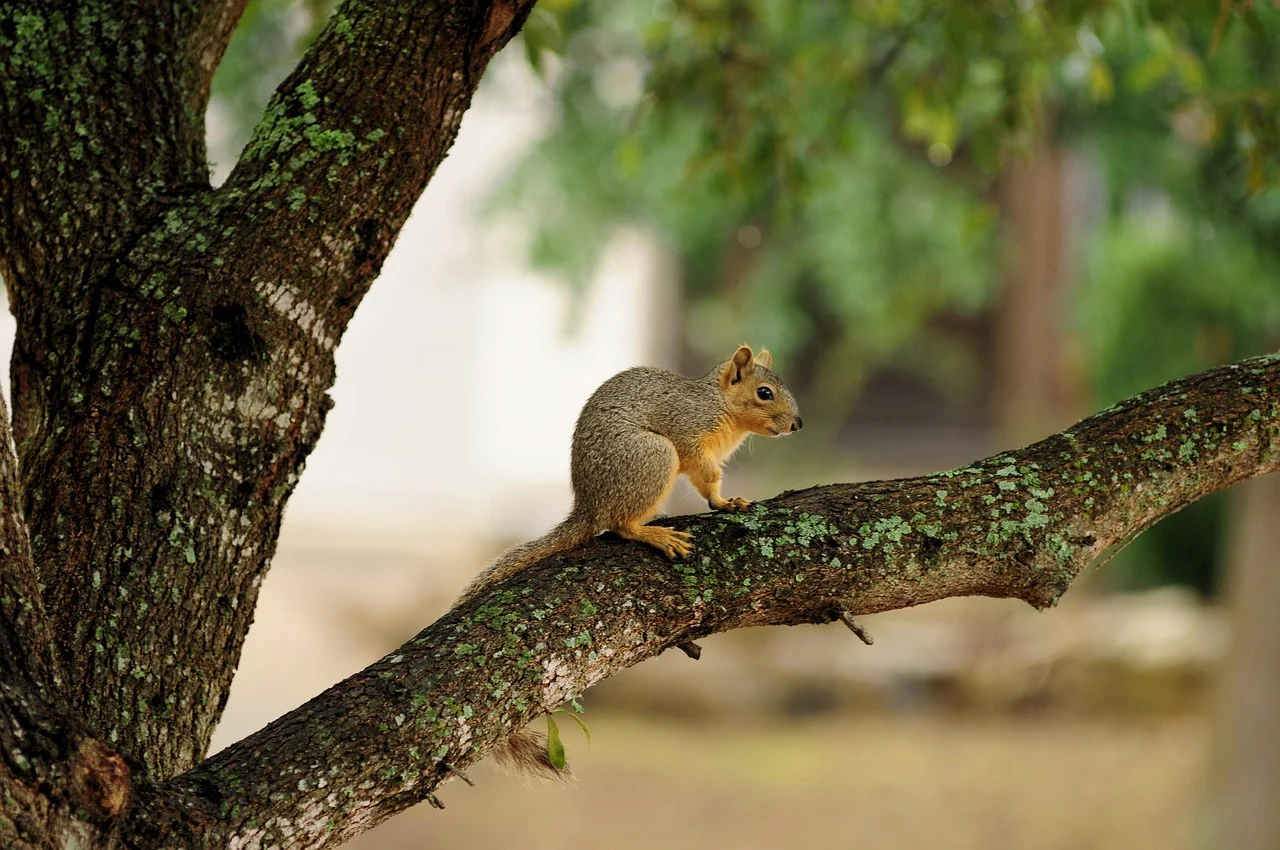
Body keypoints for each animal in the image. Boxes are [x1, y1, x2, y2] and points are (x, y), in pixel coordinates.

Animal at [455, 344, 802, 778]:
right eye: (764, 393)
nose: (798, 424)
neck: (719, 404)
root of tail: (589, 507)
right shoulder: (686, 432)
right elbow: (704, 471)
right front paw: (720, 495)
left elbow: (710, 486)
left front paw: (727, 502)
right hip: (652, 457)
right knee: (619, 525)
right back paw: (654, 534)